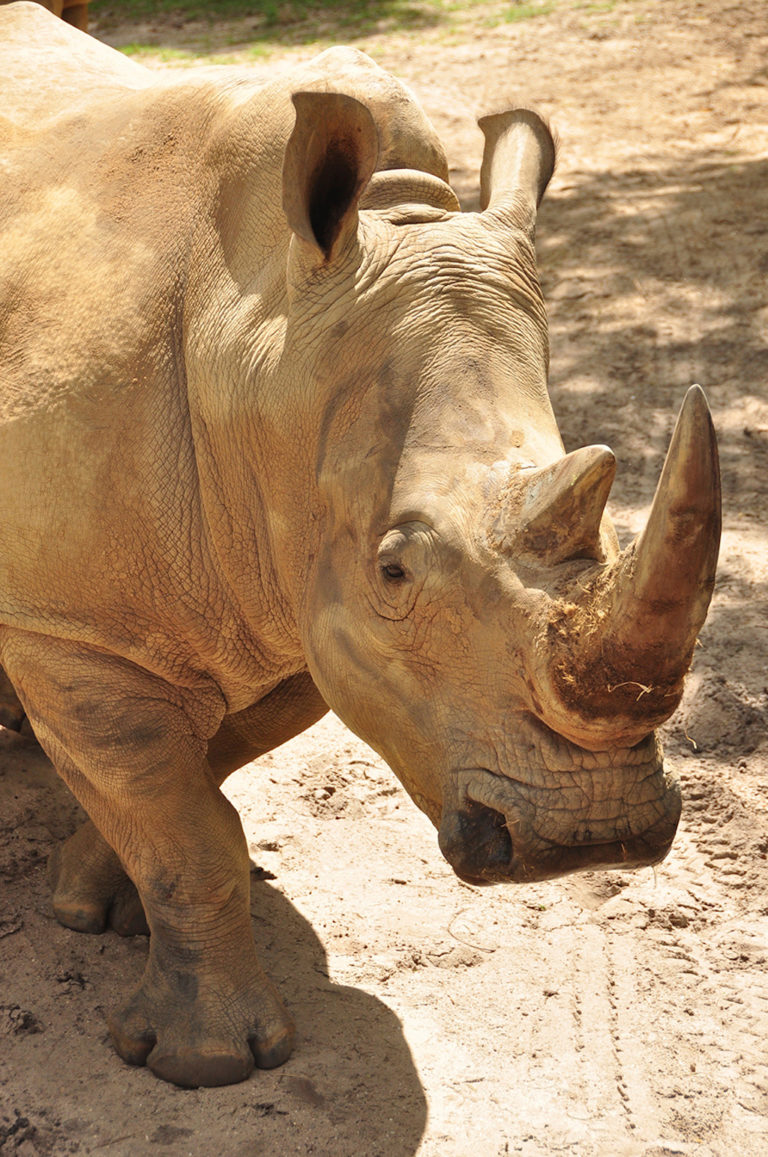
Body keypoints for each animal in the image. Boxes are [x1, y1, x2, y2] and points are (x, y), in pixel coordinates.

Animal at [0, 2, 720, 1088]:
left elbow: (199, 783)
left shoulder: (294, 601)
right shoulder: (71, 626)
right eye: (396, 568)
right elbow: (182, 824)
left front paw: (102, 900)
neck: (260, 343)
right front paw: (205, 1062)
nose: (592, 835)